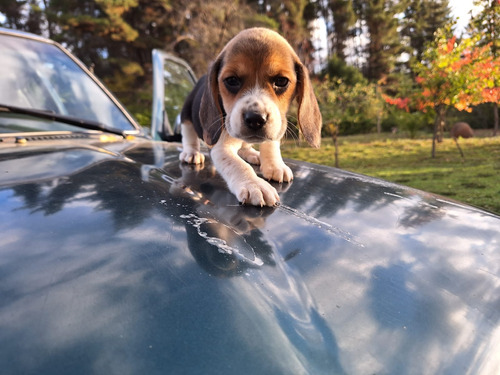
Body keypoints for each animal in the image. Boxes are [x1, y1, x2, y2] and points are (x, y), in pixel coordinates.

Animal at [178, 27, 322, 207]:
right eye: (232, 80)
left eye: (281, 81)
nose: (255, 119)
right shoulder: (220, 148)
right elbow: (238, 165)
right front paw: (254, 184)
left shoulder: (276, 125)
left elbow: (270, 145)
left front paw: (275, 165)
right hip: (186, 114)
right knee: (189, 135)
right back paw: (191, 153)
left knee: (245, 147)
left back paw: (253, 154)